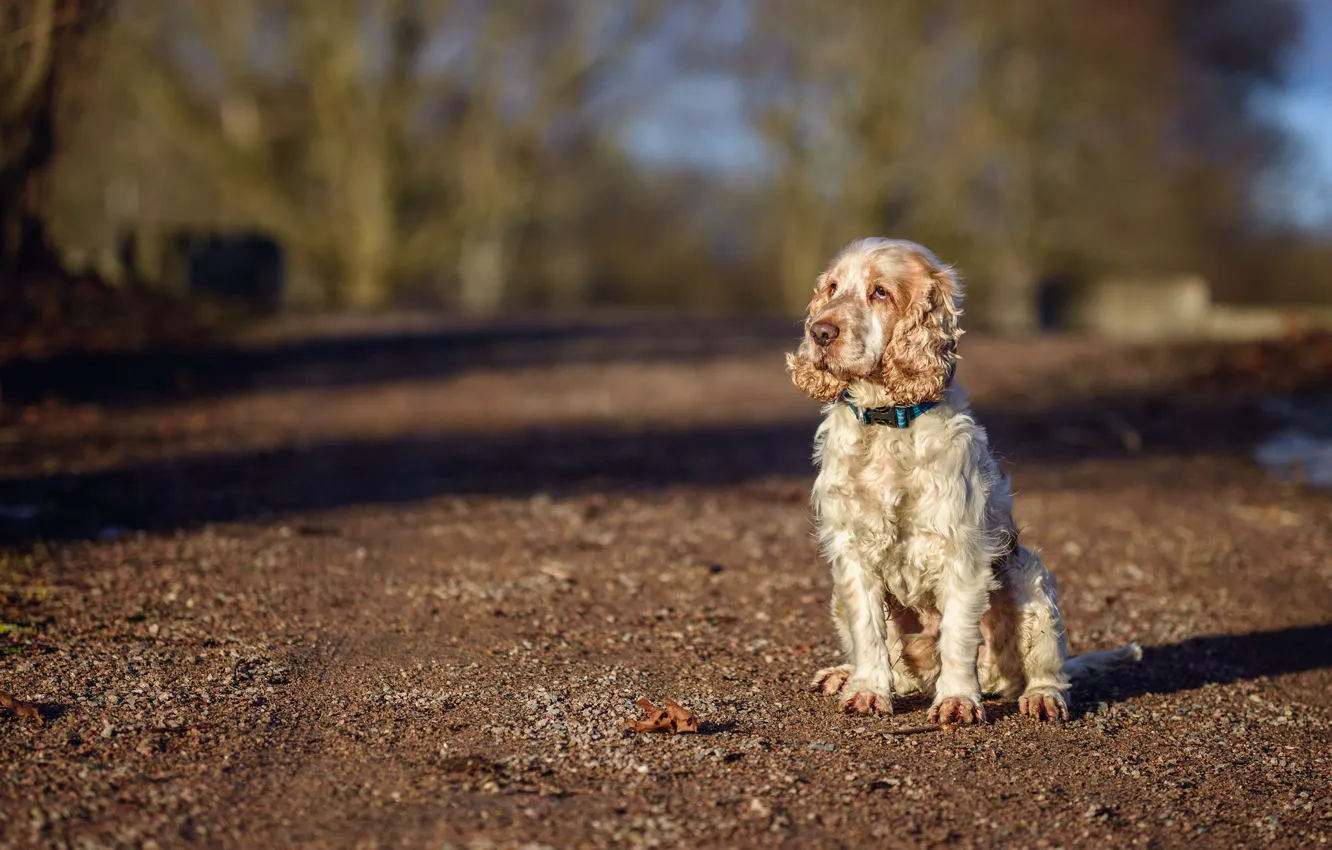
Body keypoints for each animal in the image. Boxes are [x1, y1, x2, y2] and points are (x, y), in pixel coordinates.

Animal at [783, 239, 1140, 724]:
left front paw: (955, 700)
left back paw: (1042, 698)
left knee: (1050, 671)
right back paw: (843, 674)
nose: (820, 332)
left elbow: (956, 636)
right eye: (833, 288)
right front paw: (867, 691)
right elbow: (868, 632)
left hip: (1030, 579)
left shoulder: (961, 551)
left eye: (880, 292)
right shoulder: (851, 549)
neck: (888, 423)